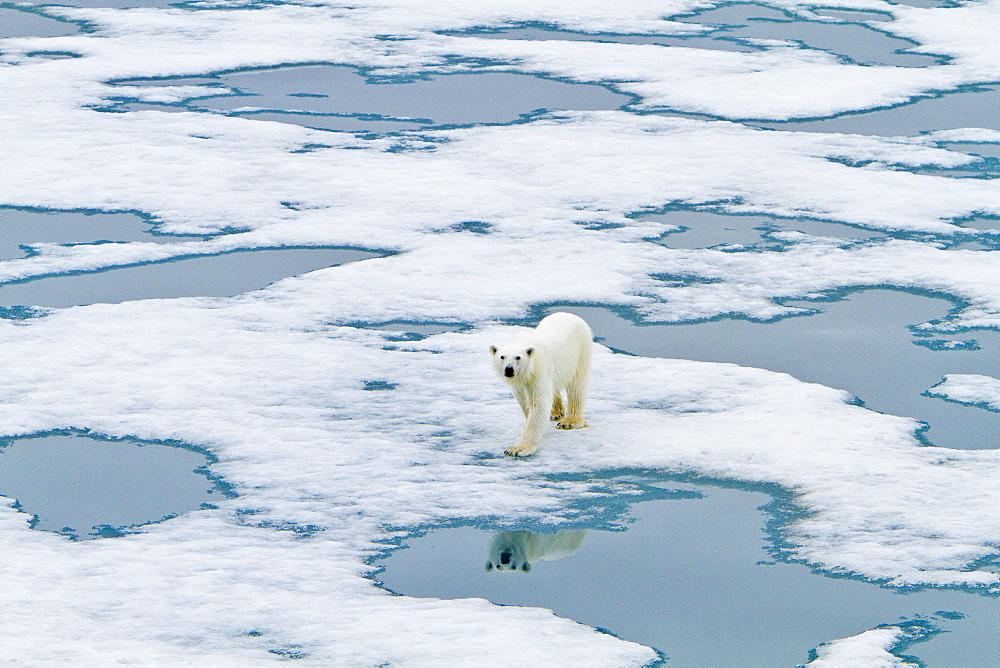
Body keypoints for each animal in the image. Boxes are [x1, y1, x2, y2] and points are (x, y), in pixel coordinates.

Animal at [488, 310, 588, 456]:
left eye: (518, 357)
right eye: (502, 357)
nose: (509, 369)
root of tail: (569, 314)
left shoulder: (539, 371)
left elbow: (538, 404)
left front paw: (517, 449)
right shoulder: (519, 384)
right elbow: (524, 402)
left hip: (580, 351)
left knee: (576, 386)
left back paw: (570, 421)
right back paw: (555, 412)